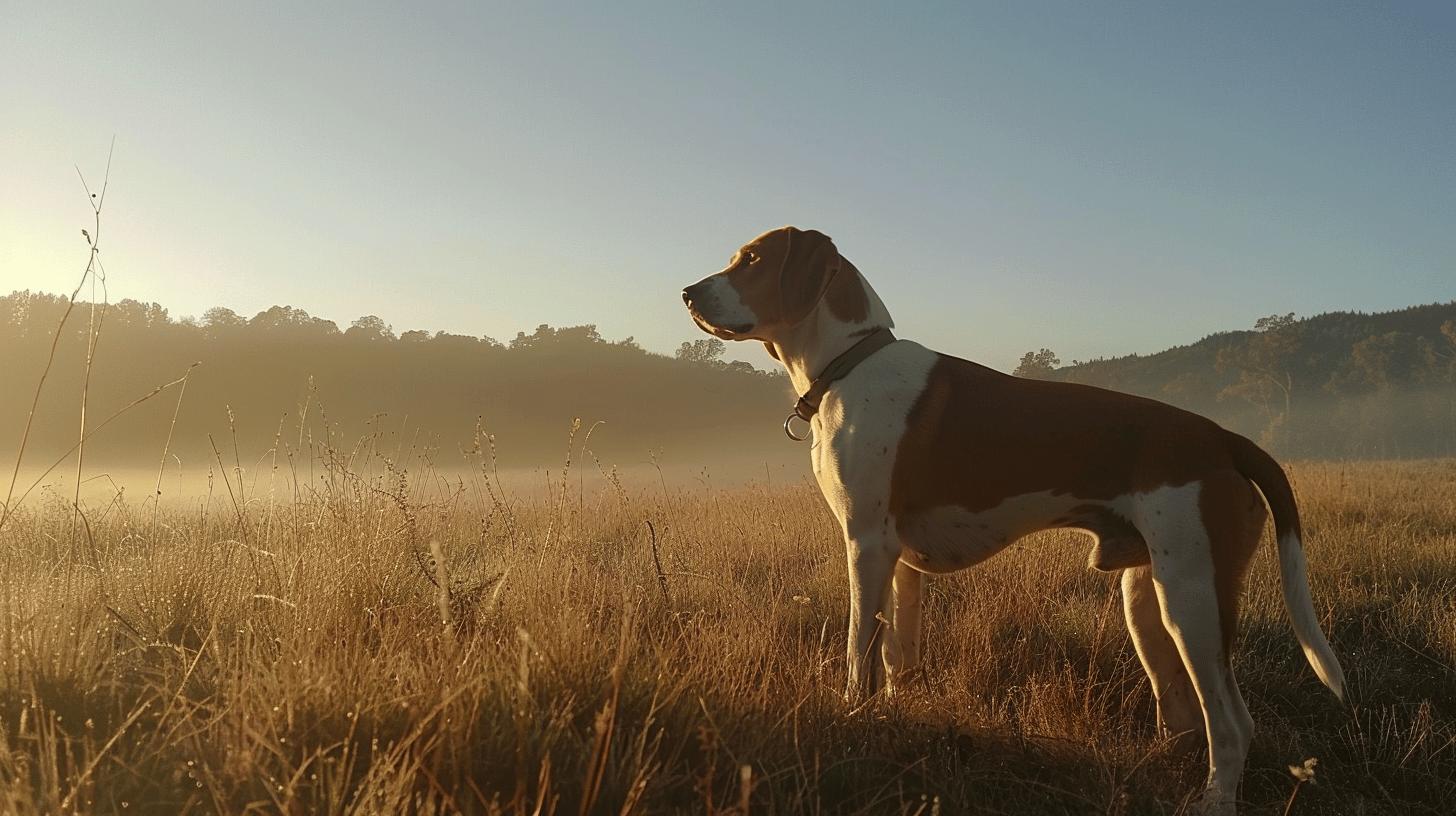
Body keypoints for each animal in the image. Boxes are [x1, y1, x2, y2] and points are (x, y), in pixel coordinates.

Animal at [681, 224, 1339, 816]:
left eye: (753, 259)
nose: (687, 292)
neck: (851, 363)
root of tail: (1223, 438)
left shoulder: (865, 547)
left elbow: (856, 653)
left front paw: (852, 717)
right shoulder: (901, 565)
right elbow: (897, 659)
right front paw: (895, 717)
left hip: (1193, 600)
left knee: (1230, 723)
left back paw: (1214, 799)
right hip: (1147, 598)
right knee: (1180, 714)